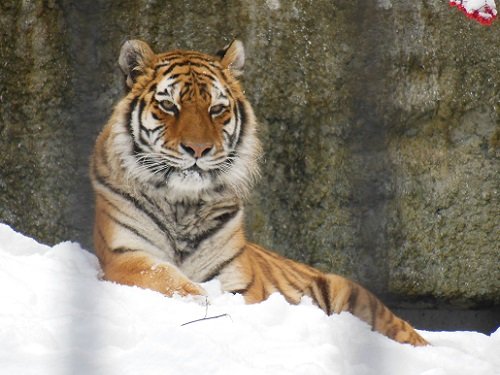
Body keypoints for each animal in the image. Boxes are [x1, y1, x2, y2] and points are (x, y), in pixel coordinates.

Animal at [89, 38, 426, 346]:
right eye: (169, 106)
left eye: (216, 109)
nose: (198, 149)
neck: (182, 203)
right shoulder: (124, 255)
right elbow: (161, 276)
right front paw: (198, 298)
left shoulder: (238, 277)